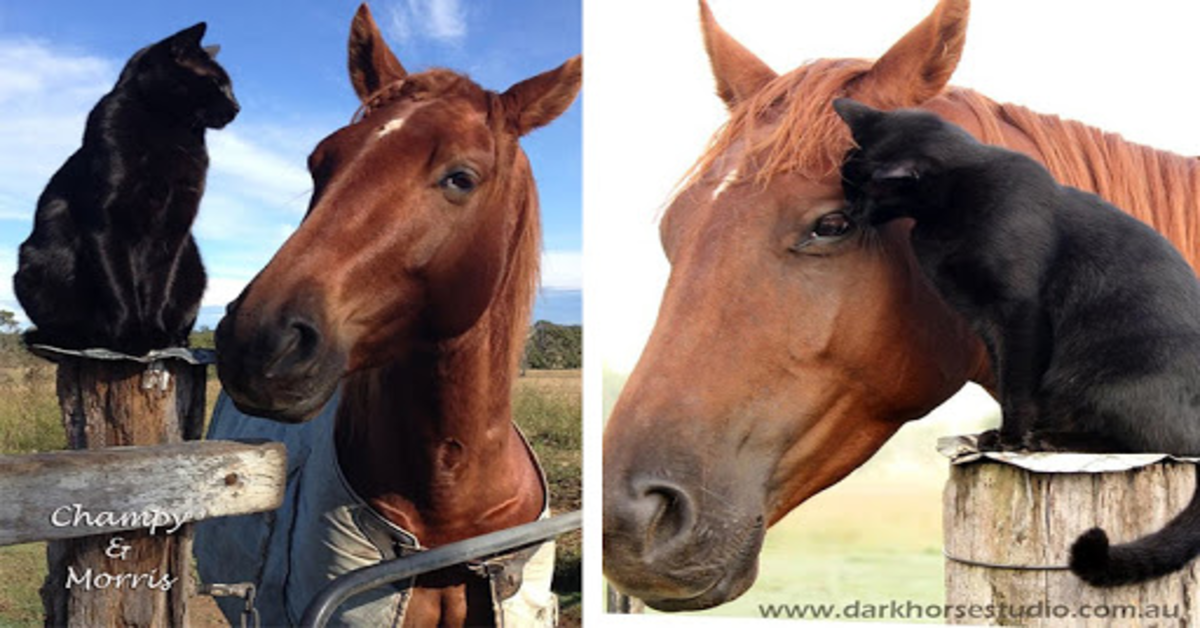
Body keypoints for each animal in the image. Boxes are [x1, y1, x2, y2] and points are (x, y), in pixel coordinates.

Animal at [13, 22, 238, 355]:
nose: (237, 106)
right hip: (37, 261)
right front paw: (132, 337)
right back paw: (76, 337)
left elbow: (158, 285)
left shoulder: (175, 225)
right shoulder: (107, 220)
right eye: (216, 83)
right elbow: (120, 284)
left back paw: (175, 337)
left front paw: (155, 333)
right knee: (61, 327)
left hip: (195, 268)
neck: (169, 129)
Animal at [835, 96, 1200, 588]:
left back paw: (1052, 441)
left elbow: (1018, 385)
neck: (949, 210)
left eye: (863, 190)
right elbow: (1007, 378)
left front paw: (1010, 441)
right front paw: (999, 435)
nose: (845, 212)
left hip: (1103, 380)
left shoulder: (1019, 312)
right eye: (845, 183)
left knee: (1157, 444)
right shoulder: (986, 322)